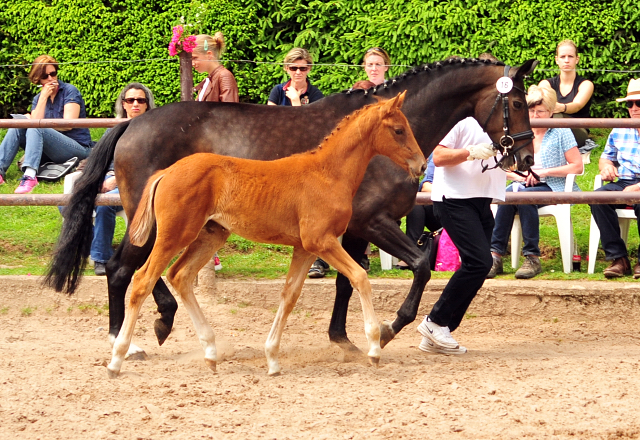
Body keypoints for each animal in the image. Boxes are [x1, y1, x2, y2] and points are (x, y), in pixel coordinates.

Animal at [107, 91, 422, 376]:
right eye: (398, 130)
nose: (420, 165)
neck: (327, 173)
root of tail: (166, 172)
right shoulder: (321, 241)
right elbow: (359, 277)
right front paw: (375, 346)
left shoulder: (305, 248)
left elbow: (289, 295)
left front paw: (272, 359)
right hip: (174, 235)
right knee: (141, 280)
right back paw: (118, 358)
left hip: (210, 235)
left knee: (179, 276)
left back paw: (210, 352)